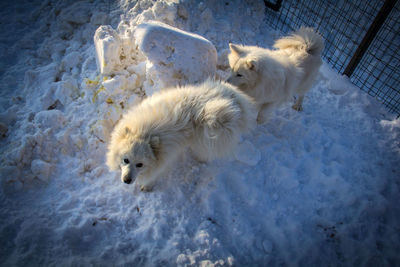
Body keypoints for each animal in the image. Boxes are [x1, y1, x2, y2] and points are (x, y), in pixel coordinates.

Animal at [106, 78, 256, 192]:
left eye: (140, 164)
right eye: (125, 160)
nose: (126, 180)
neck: (144, 132)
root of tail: (233, 99)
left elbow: (153, 176)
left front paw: (147, 186)